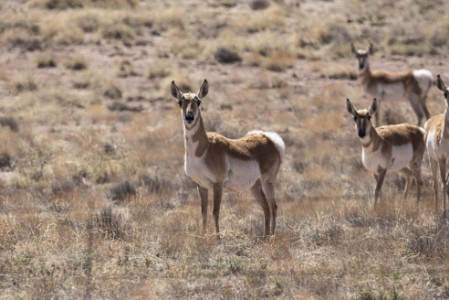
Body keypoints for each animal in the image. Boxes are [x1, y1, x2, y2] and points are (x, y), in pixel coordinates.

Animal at [170, 79, 286, 237]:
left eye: (198, 101)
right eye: (180, 101)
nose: (189, 117)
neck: (204, 150)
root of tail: (269, 139)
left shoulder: (217, 185)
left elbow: (215, 212)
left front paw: (217, 239)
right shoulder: (201, 185)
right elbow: (203, 213)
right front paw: (202, 237)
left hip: (267, 181)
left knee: (273, 206)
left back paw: (272, 237)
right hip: (255, 186)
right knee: (266, 208)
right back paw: (266, 236)